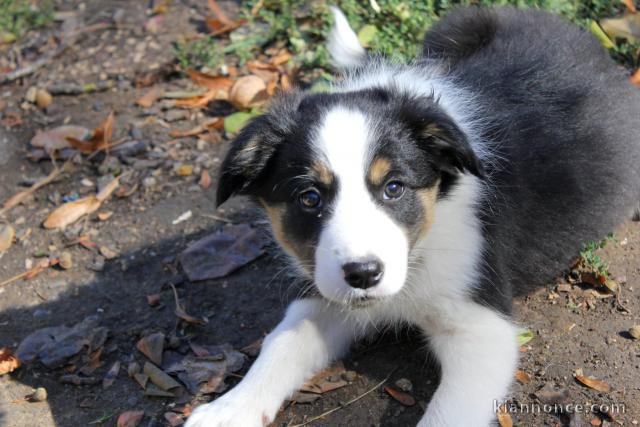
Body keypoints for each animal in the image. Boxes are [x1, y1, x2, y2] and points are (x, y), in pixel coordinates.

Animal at [186, 6, 640, 427]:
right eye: (309, 198)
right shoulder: (325, 290)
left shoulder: (481, 327)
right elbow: (281, 343)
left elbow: (447, 415)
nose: (364, 274)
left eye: (394, 188)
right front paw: (228, 410)